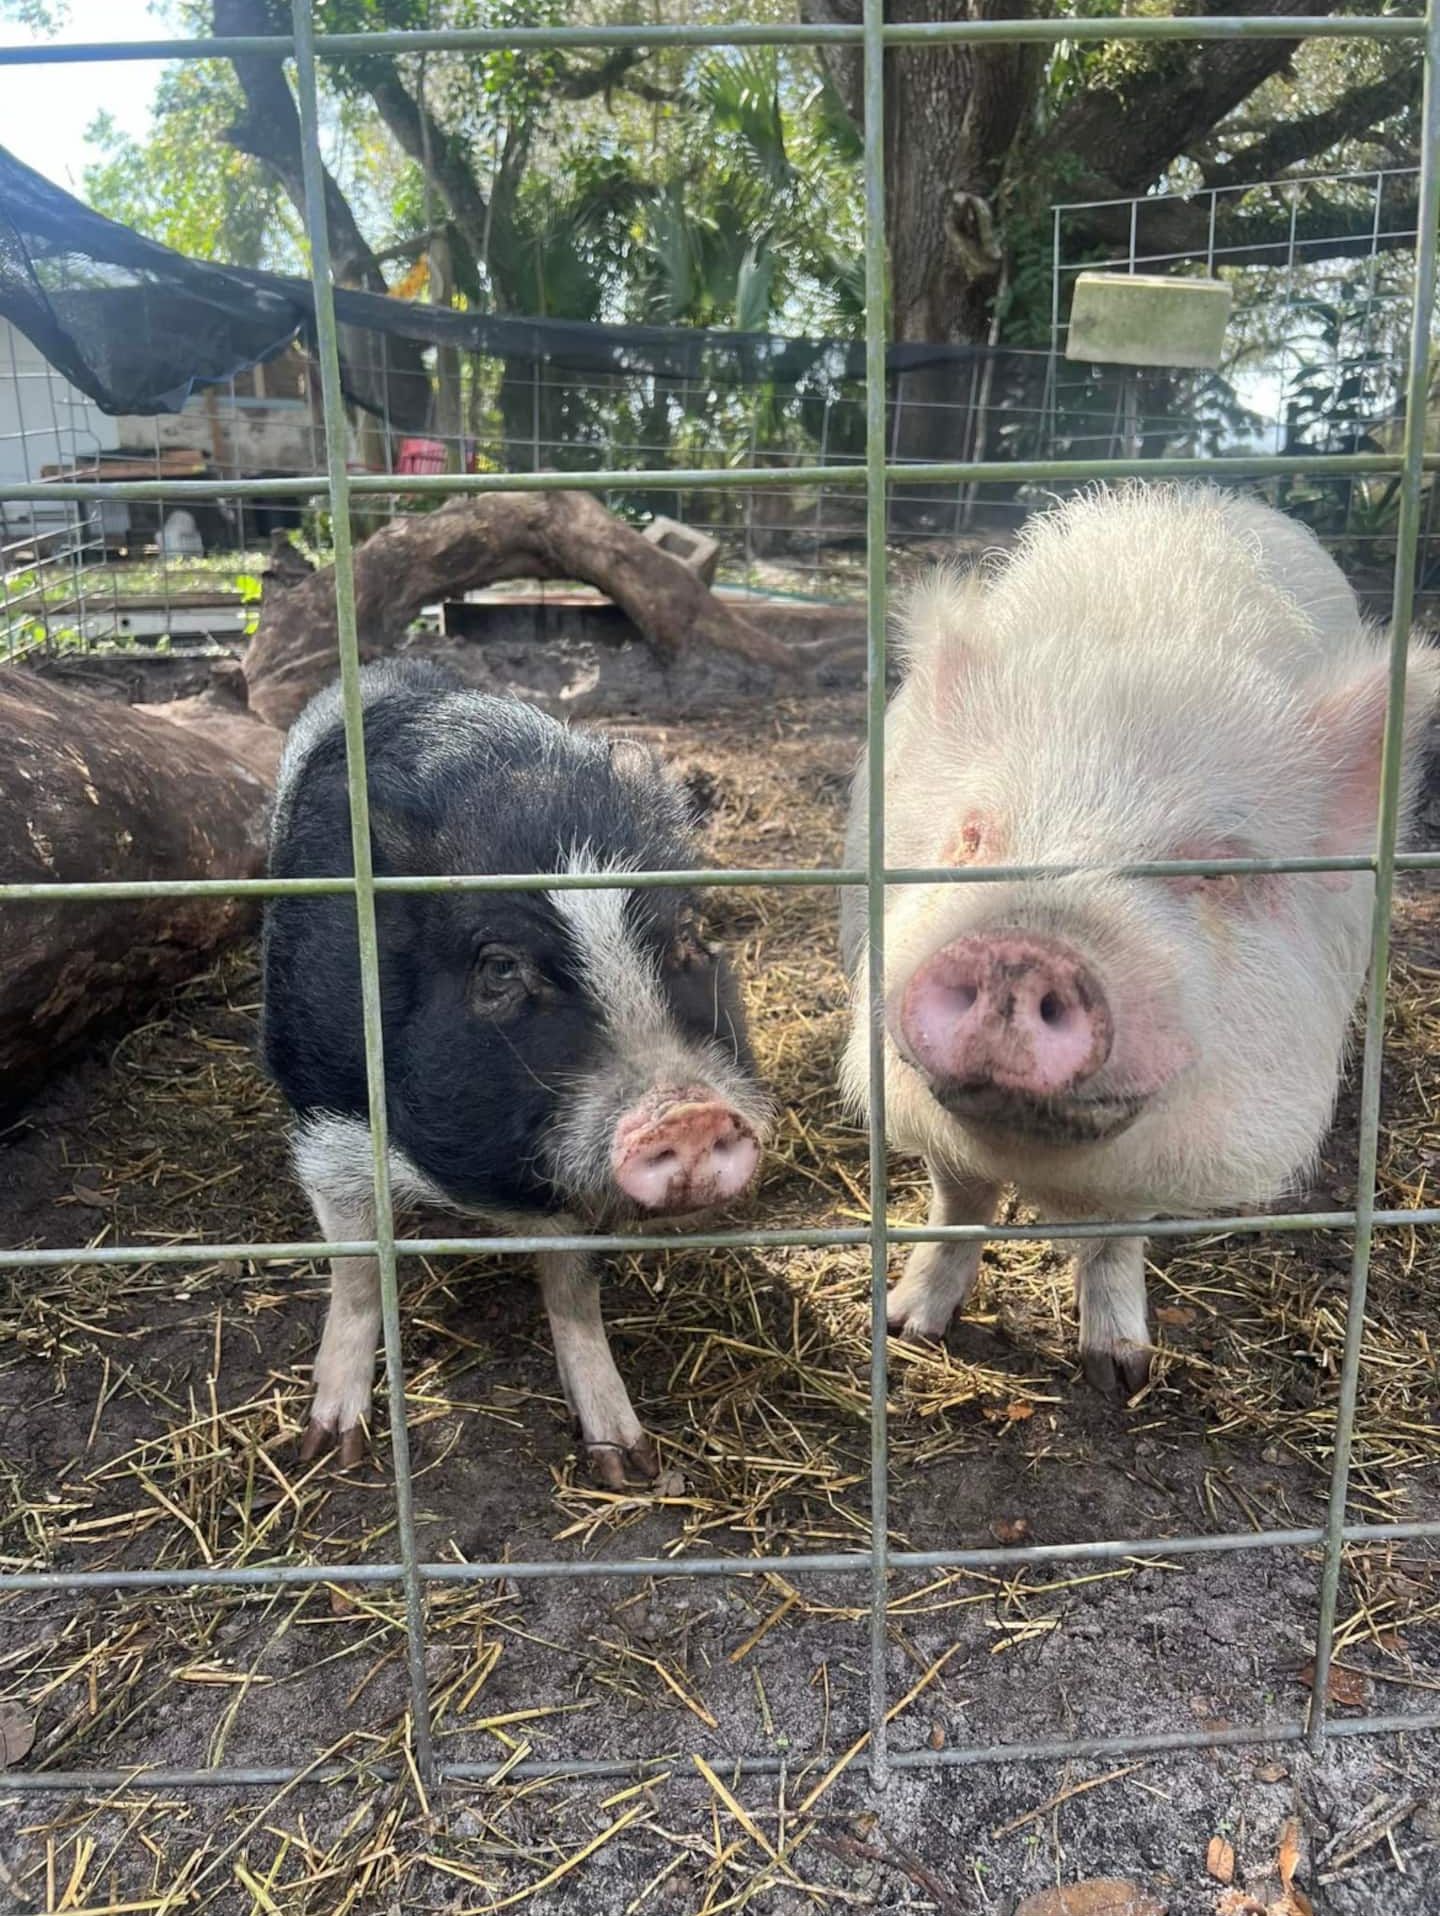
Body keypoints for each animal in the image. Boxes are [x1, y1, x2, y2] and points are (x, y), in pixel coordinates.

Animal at [262, 661, 770, 1483]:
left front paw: (627, 1463)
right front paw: (330, 1448)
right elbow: (358, 1272)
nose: (687, 1112)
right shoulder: (325, 1115)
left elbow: (573, 1293)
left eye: (689, 936)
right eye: (500, 968)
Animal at [841, 483, 1439, 1394]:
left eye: (1219, 871)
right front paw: (907, 1329)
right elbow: (958, 1200)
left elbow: (1119, 1231)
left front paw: (1119, 1373)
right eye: (973, 835)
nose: (1020, 951)